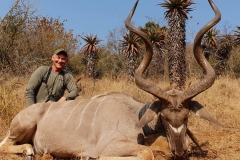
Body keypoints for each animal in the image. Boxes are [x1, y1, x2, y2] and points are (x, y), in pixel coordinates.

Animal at [0, 0, 221, 159]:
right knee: (7, 144)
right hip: (21, 127)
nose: (180, 152)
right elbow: (146, 152)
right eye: (165, 117)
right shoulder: (110, 145)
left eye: (186, 117)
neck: (135, 116)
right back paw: (28, 150)